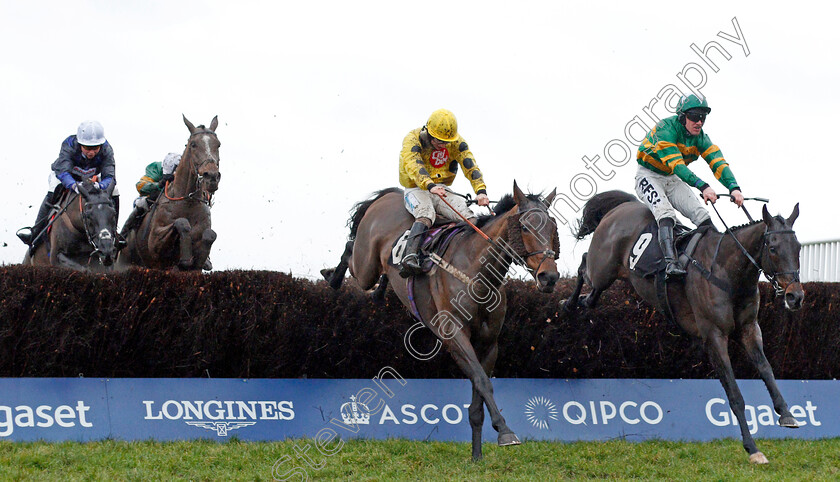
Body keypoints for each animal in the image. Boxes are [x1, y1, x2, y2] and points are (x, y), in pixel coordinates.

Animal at [117, 114, 220, 270]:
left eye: (218, 144)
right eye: (193, 144)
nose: (212, 176)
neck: (187, 203)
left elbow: (210, 234)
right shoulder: (155, 244)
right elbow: (181, 222)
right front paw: (185, 257)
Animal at [324, 181, 560, 460]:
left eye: (553, 228)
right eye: (524, 227)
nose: (549, 277)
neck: (477, 273)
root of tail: (391, 194)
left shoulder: (489, 343)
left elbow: (478, 396)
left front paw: (477, 456)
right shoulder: (454, 335)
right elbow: (482, 382)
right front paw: (505, 431)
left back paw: (380, 290)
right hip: (365, 268)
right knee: (351, 251)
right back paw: (332, 277)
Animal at [560, 189, 804, 464]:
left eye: (798, 247)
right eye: (772, 248)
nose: (795, 296)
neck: (729, 273)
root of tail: (623, 206)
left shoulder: (749, 328)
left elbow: (766, 370)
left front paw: (787, 413)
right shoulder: (713, 335)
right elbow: (734, 394)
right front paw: (752, 448)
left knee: (592, 294)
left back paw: (582, 301)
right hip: (603, 268)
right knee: (583, 266)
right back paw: (568, 303)